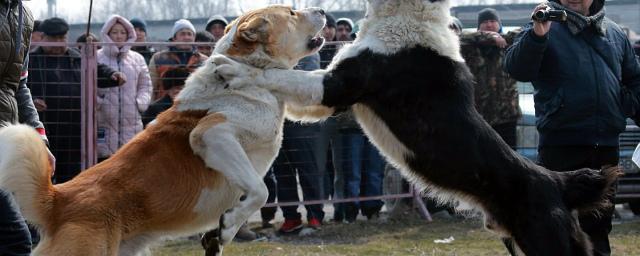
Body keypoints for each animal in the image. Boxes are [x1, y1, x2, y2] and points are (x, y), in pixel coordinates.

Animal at [1, 5, 324, 255]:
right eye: (292, 13)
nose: (321, 10)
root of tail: (59, 200)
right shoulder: (211, 136)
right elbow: (261, 190)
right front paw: (229, 223)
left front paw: (219, 236)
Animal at [215, 1, 620, 255]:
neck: (406, 16)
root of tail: (557, 181)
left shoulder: (336, 87)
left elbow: (279, 76)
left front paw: (233, 68)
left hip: (546, 240)